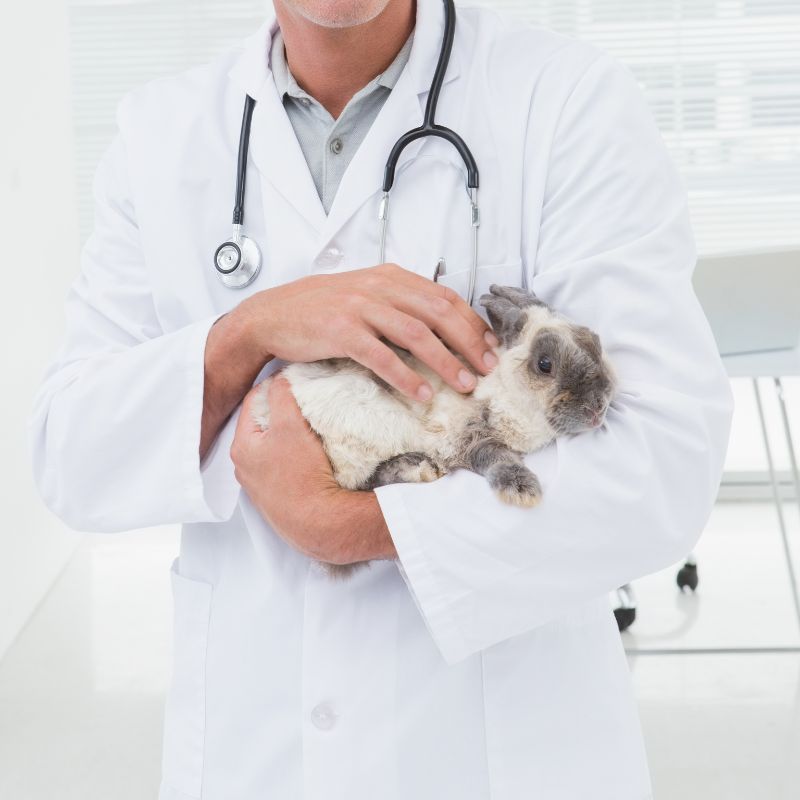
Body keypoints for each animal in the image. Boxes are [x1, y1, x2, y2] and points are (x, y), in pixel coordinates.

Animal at [252, 284, 620, 580]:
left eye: (595, 341)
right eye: (545, 364)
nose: (598, 407)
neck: (502, 385)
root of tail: (263, 412)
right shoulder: (462, 437)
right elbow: (495, 456)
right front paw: (522, 490)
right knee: (365, 480)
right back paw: (417, 469)